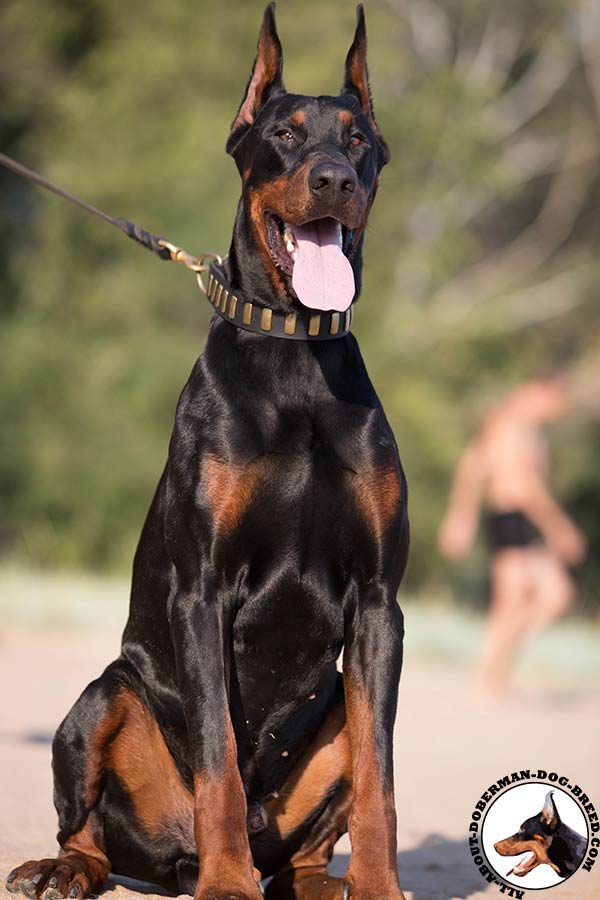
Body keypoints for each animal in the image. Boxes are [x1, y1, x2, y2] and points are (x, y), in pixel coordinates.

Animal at [5, 7, 408, 900]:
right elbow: (219, 758)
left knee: (302, 847)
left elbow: (380, 774)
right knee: (94, 827)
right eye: (284, 134)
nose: (334, 179)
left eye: (359, 139)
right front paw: (226, 886)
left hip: (331, 702)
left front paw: (382, 886)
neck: (296, 355)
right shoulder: (202, 590)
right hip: (104, 694)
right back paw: (72, 868)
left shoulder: (379, 604)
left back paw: (321, 881)